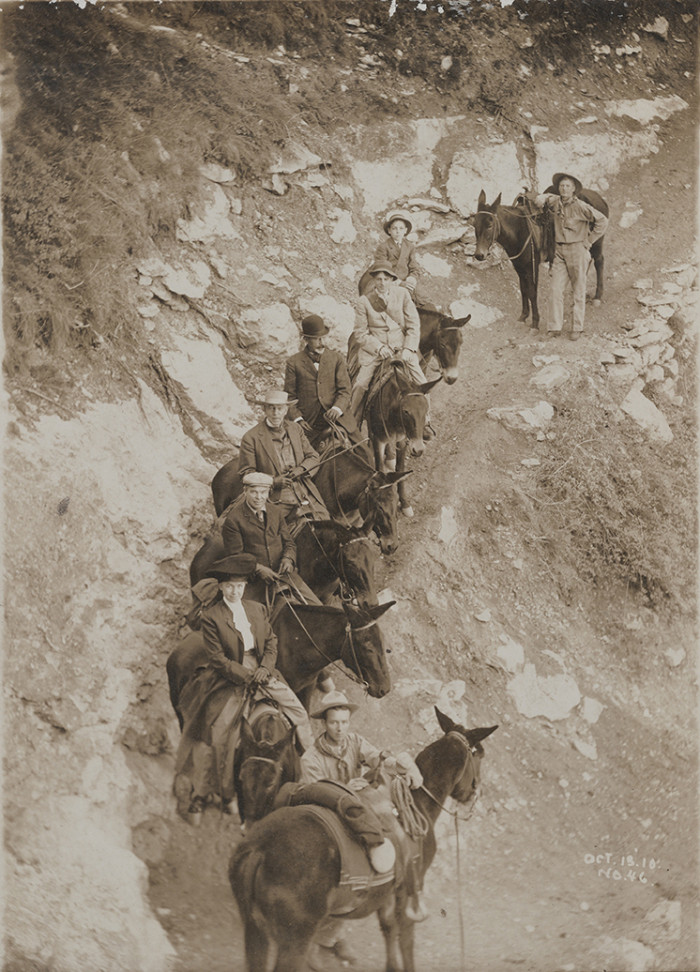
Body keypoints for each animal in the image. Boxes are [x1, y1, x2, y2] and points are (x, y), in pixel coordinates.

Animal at [230, 708, 498, 972]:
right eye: (480, 755)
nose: (475, 792)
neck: (417, 802)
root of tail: (259, 851)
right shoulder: (409, 887)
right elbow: (406, 939)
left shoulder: (387, 890)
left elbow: (388, 928)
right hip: (294, 939)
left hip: (255, 932)